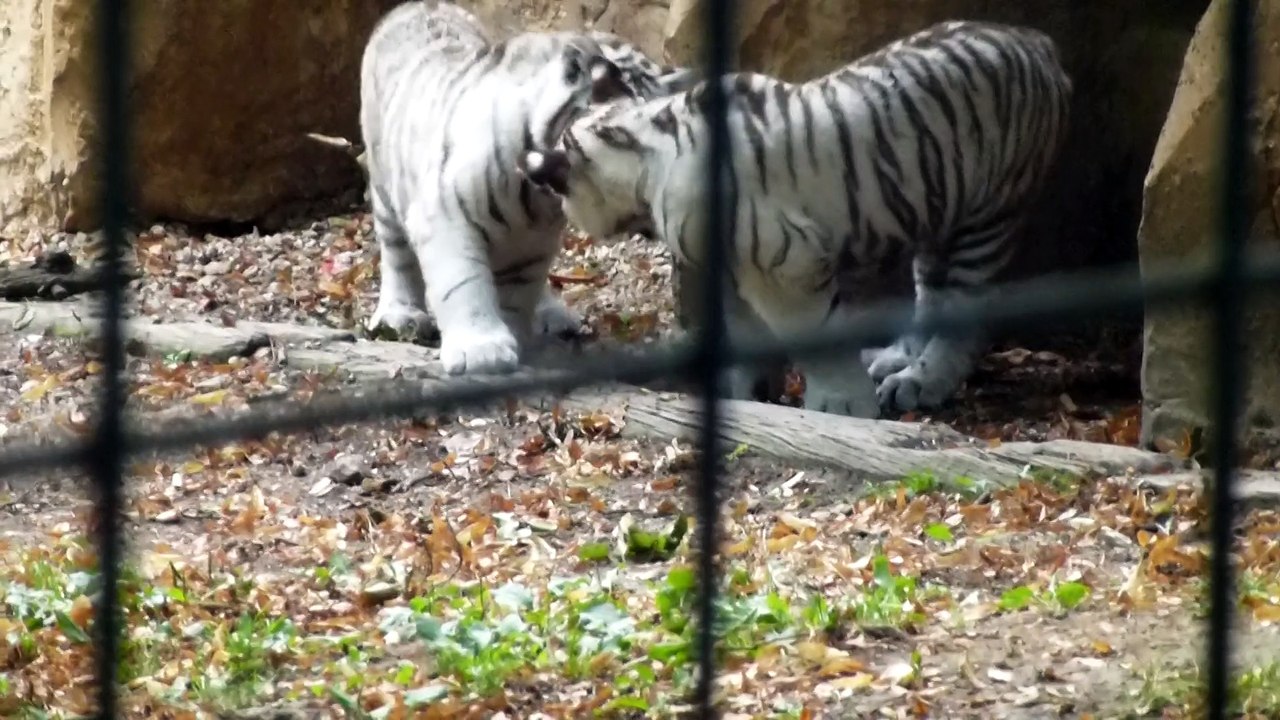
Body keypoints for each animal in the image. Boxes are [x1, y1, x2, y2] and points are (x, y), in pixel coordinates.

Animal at [359, 1, 697, 376]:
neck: (535, 197)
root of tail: (413, 6)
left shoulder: (533, 243)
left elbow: (516, 295)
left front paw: (514, 339)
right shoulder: (445, 217)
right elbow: (464, 284)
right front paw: (483, 351)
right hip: (385, 186)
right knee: (397, 255)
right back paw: (400, 315)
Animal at [518, 20, 1072, 418]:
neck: (640, 149)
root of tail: (1039, 41)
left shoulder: (784, 267)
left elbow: (815, 344)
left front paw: (842, 406)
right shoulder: (733, 270)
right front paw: (744, 390)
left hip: (986, 217)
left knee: (964, 316)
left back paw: (920, 382)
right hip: (938, 213)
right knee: (931, 297)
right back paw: (894, 358)